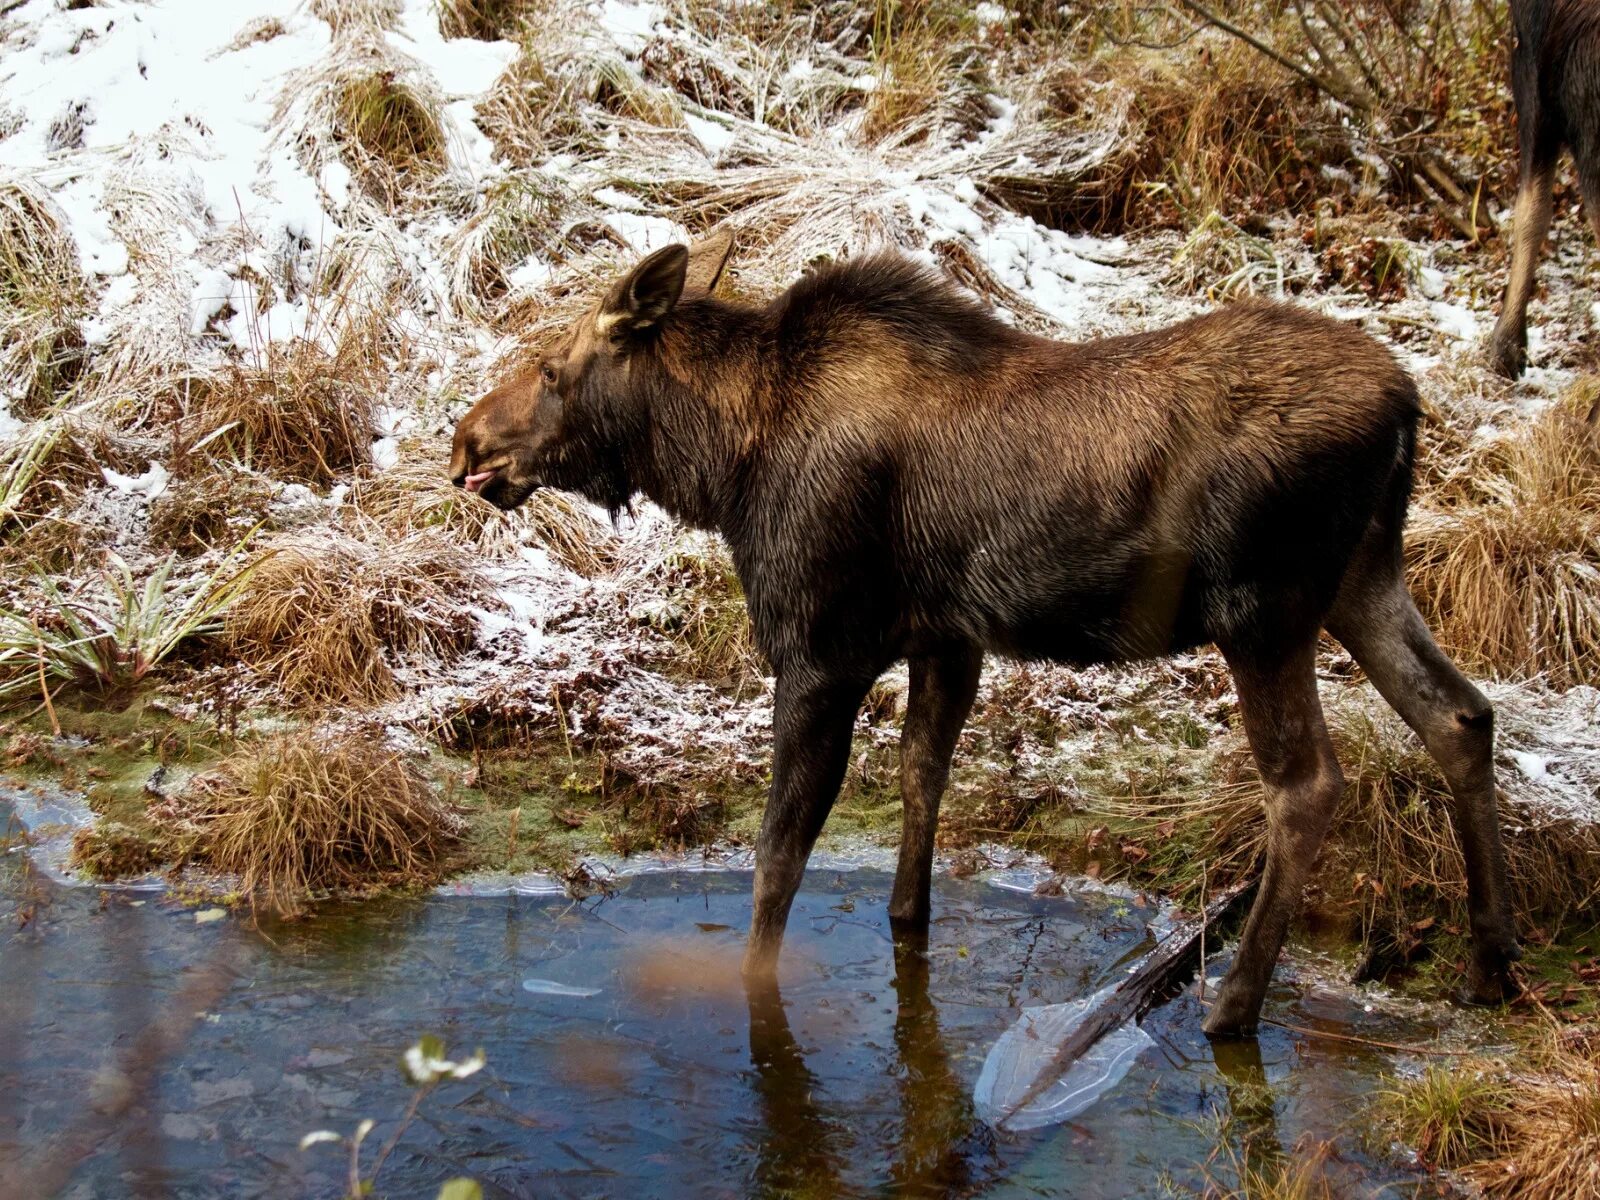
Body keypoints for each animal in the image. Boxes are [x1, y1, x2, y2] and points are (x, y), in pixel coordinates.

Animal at [451, 236, 1510, 1043]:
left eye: (551, 370)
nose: (465, 443)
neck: (721, 466)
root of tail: (1408, 406)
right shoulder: (947, 638)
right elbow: (922, 777)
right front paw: (904, 928)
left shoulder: (819, 646)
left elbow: (778, 857)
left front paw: (755, 995)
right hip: (1364, 578)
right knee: (1460, 713)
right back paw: (1490, 965)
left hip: (1265, 611)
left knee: (1309, 782)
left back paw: (1235, 1007)